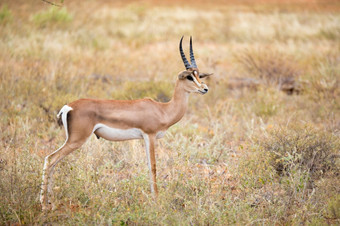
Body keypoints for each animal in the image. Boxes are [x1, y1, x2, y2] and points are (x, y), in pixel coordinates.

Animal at [39, 35, 212, 210]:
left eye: (199, 75)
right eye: (189, 76)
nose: (205, 89)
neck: (163, 109)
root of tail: (68, 107)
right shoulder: (150, 135)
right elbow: (153, 166)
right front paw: (156, 201)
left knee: (53, 162)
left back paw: (50, 202)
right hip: (77, 139)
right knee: (50, 159)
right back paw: (43, 205)